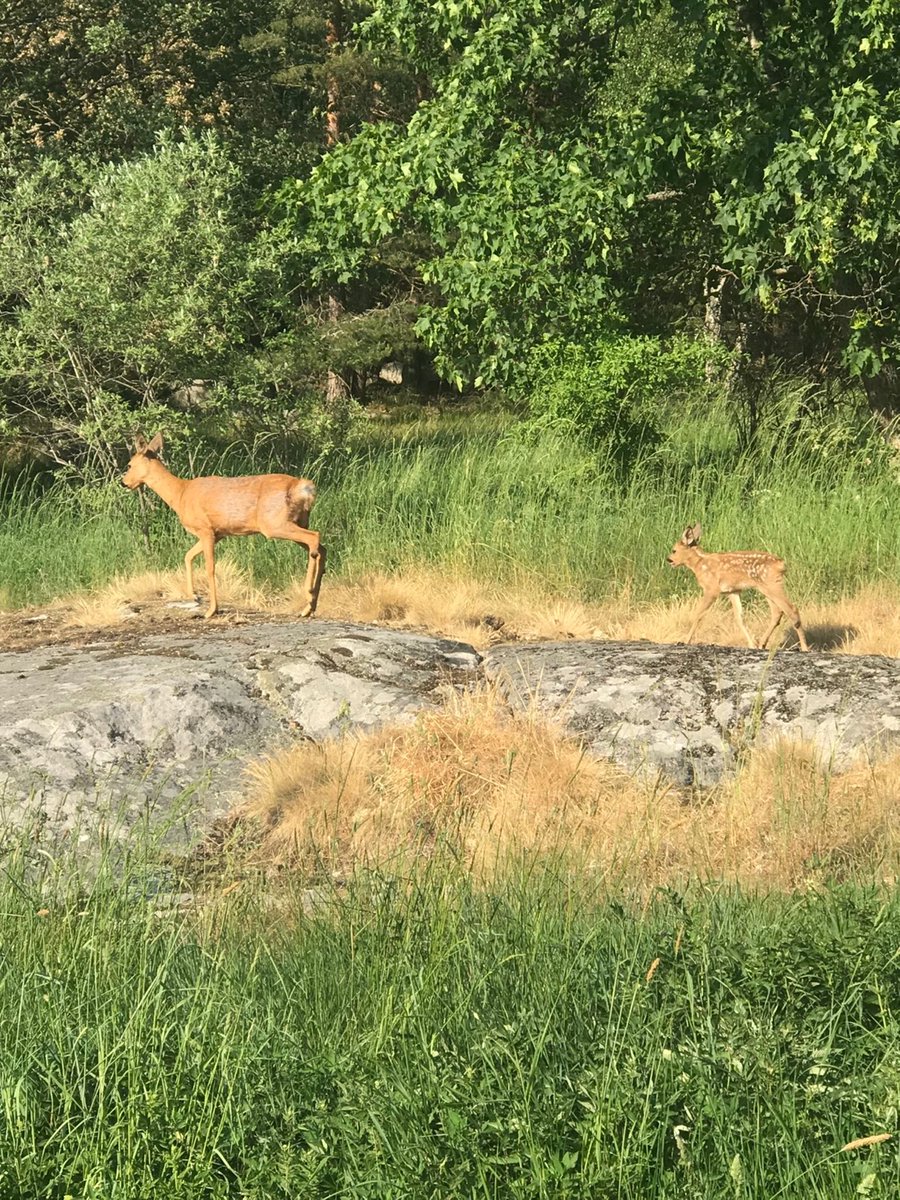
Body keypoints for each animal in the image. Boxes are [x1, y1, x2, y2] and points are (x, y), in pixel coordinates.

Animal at [121, 433, 325, 620]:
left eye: (129, 465)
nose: (123, 482)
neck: (180, 494)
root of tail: (303, 487)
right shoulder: (218, 533)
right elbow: (188, 556)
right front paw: (195, 596)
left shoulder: (205, 529)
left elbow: (210, 568)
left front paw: (211, 610)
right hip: (297, 520)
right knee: (321, 547)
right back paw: (309, 607)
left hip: (275, 523)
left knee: (314, 538)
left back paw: (308, 594)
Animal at [667, 523, 809, 652]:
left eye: (674, 550)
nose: (669, 560)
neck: (699, 564)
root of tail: (781, 564)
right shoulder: (732, 591)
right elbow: (739, 617)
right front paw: (751, 644)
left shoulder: (711, 589)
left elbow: (699, 614)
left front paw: (685, 641)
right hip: (766, 588)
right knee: (777, 612)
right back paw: (762, 644)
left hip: (772, 584)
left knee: (791, 609)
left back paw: (804, 648)